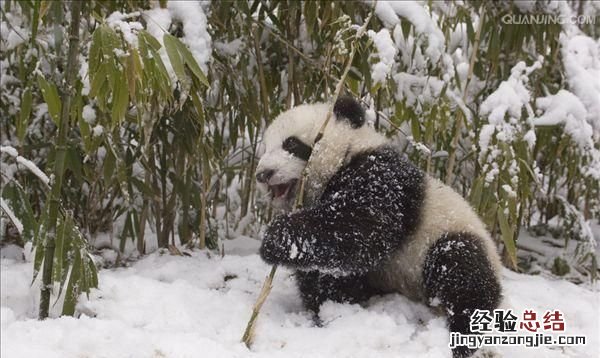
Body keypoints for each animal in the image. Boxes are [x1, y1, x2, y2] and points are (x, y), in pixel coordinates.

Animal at [255, 96, 504, 358]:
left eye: (291, 144)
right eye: (265, 149)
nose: (263, 174)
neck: (348, 151)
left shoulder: (380, 177)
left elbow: (362, 230)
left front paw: (276, 237)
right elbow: (328, 270)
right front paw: (332, 307)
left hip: (451, 233)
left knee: (462, 272)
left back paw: (464, 331)